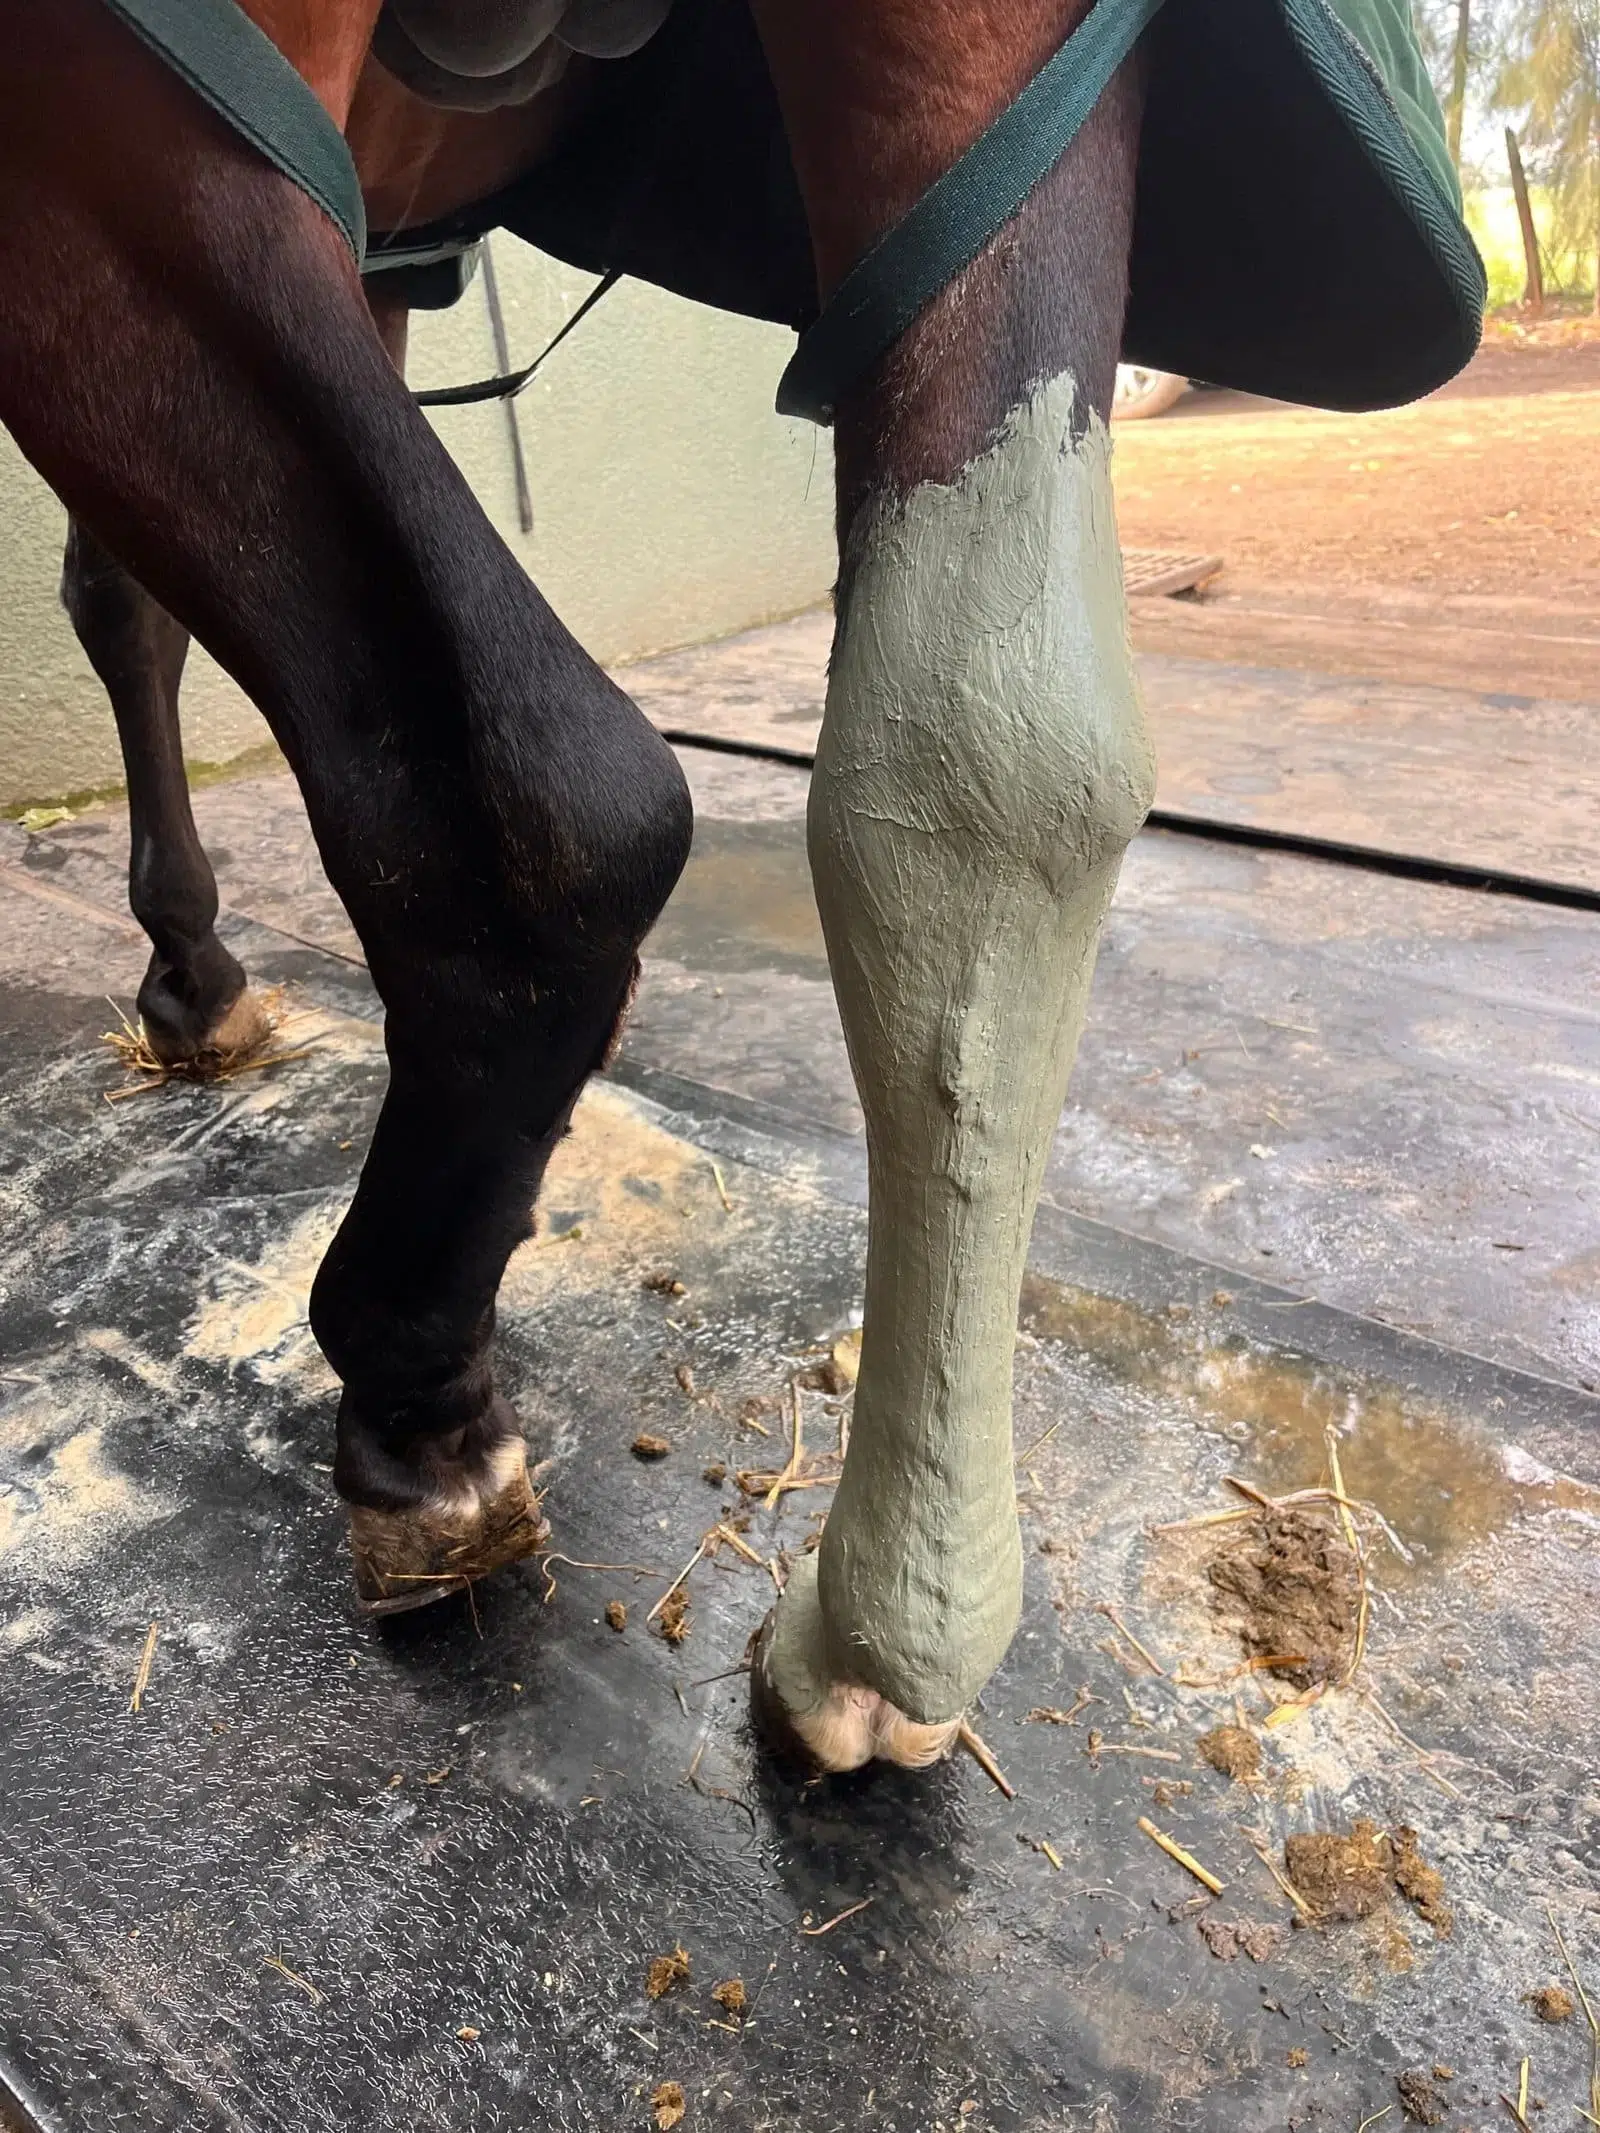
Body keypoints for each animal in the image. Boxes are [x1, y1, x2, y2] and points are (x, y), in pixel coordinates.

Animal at [0, 0, 1481, 1775]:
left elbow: (123, 604)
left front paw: (192, 975)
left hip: (105, 120)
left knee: (528, 793)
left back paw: (421, 1404)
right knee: (982, 749)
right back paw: (900, 1620)